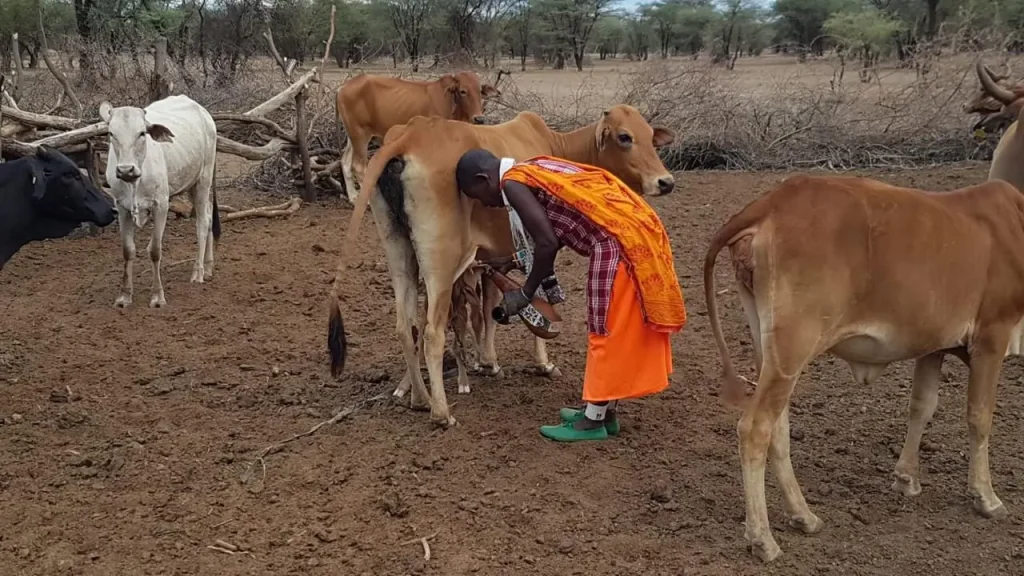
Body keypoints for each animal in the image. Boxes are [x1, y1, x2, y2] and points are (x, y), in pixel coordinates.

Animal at [99, 94, 220, 309]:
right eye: (111, 133)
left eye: (142, 133)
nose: (125, 170)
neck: (135, 179)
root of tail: (205, 114)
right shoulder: (121, 207)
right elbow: (128, 250)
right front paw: (124, 296)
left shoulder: (161, 205)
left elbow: (155, 250)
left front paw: (157, 296)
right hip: (191, 184)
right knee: (208, 216)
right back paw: (208, 267)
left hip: (204, 179)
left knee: (202, 223)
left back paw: (197, 272)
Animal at [335, 72, 500, 203]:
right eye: (463, 91)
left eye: (480, 91)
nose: (479, 118)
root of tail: (342, 87)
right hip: (360, 134)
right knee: (359, 166)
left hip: (353, 135)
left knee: (345, 161)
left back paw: (353, 197)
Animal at [702, 174, 1024, 562]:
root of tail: (774, 200)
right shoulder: (993, 336)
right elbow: (980, 418)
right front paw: (986, 497)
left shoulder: (932, 346)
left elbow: (922, 407)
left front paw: (906, 478)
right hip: (794, 345)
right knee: (755, 428)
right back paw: (762, 537)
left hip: (768, 347)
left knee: (777, 429)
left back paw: (803, 515)